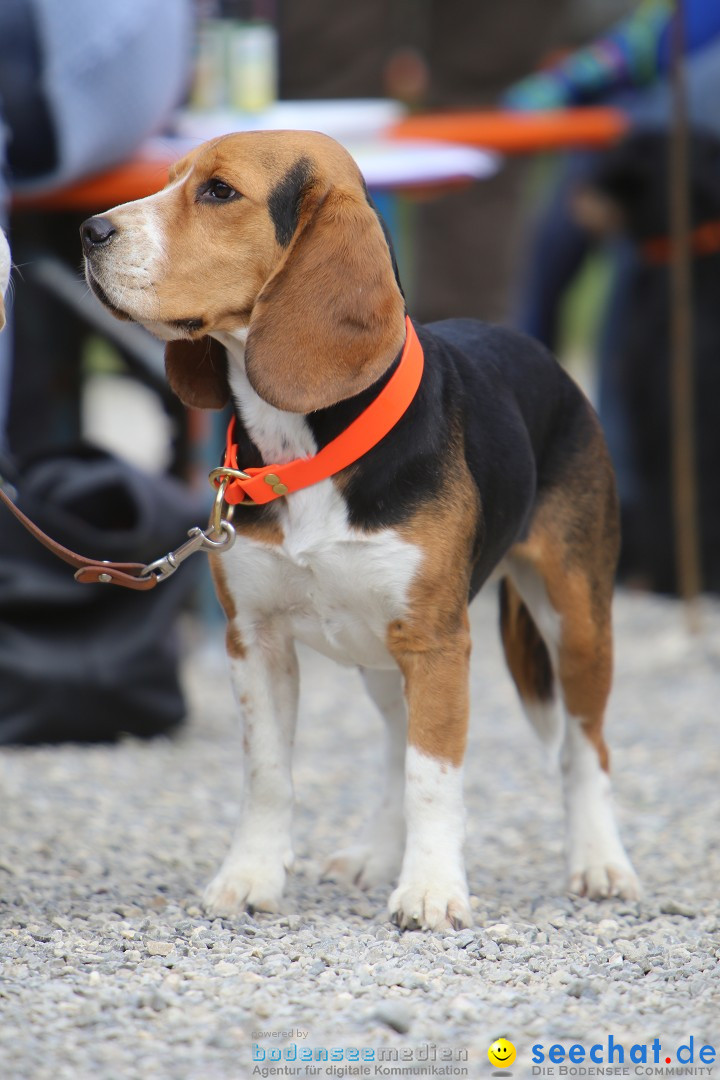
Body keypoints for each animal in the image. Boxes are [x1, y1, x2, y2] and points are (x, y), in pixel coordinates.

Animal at [81, 132, 639, 928]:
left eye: (219, 192)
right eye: (167, 179)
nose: (89, 231)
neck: (304, 448)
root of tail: (544, 356)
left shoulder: (436, 644)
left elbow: (434, 775)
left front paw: (432, 889)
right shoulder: (255, 639)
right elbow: (270, 774)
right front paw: (249, 877)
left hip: (577, 621)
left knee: (583, 749)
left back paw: (599, 862)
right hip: (381, 656)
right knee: (393, 747)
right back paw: (378, 852)